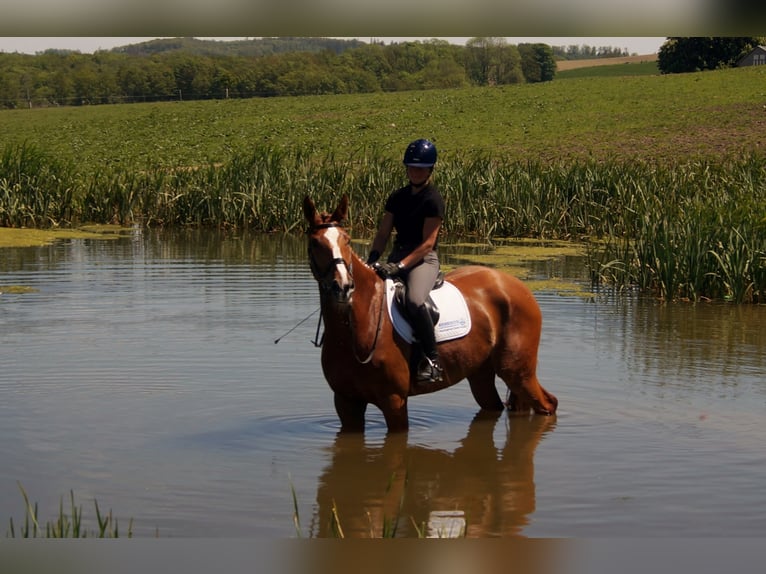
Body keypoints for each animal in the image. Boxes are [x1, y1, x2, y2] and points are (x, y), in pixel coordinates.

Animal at [304, 196, 560, 434]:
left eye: (346, 240)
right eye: (315, 243)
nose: (343, 287)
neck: (358, 326)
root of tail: (516, 285)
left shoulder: (394, 402)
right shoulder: (346, 403)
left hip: (518, 372)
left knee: (548, 403)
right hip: (481, 373)